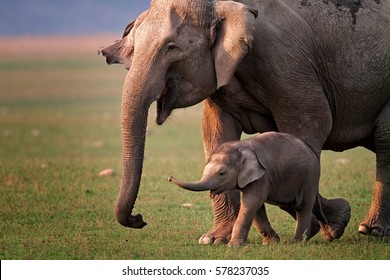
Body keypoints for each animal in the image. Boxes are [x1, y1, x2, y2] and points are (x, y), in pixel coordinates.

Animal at [169, 132, 328, 246]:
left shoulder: (262, 176)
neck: (241, 146)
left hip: (310, 177)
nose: (169, 178)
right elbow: (256, 207)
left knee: (302, 206)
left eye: (222, 173)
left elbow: (251, 202)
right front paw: (270, 243)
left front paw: (233, 246)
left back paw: (297, 242)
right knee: (288, 205)